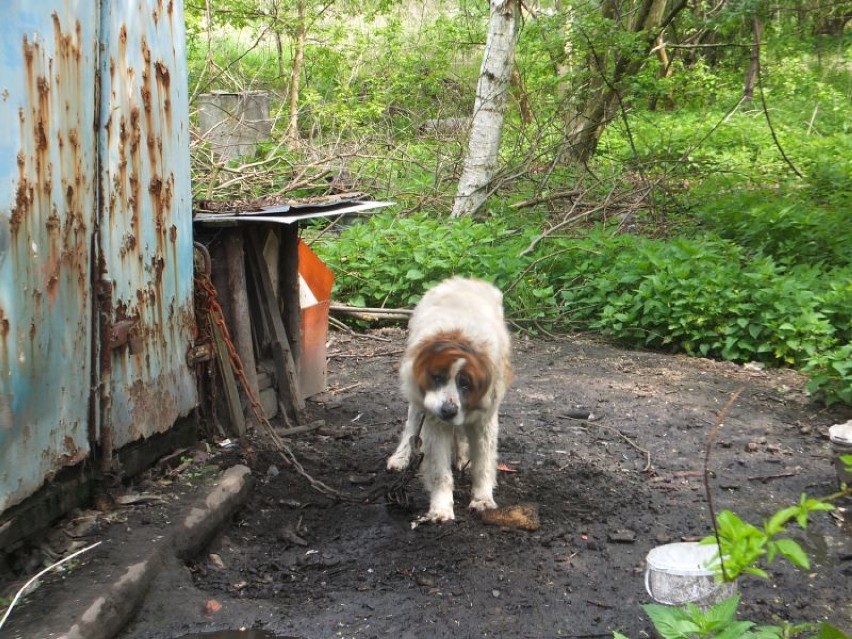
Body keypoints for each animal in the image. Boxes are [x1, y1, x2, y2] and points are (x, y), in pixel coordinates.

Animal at [388, 278, 512, 524]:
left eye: (466, 384)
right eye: (437, 377)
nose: (448, 410)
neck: (459, 338)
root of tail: (462, 280)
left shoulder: (483, 419)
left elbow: (483, 464)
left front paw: (483, 499)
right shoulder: (434, 421)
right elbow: (440, 473)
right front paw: (441, 508)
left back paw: (463, 455)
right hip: (417, 400)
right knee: (412, 423)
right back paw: (401, 456)